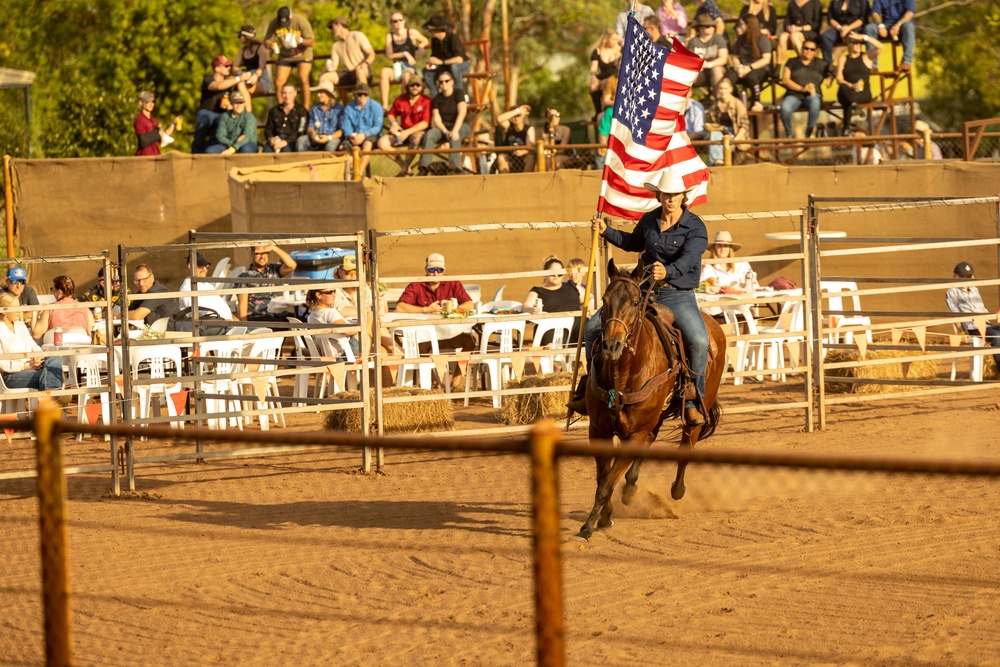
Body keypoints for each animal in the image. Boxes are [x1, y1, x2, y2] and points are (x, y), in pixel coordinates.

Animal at [580, 258, 728, 540]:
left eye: (635, 301)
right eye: (604, 299)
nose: (612, 345)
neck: (623, 373)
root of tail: (713, 325)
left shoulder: (634, 434)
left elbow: (605, 484)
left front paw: (588, 526)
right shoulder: (598, 431)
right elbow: (603, 479)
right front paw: (605, 516)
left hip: (699, 405)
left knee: (686, 444)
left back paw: (677, 490)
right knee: (653, 437)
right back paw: (630, 488)